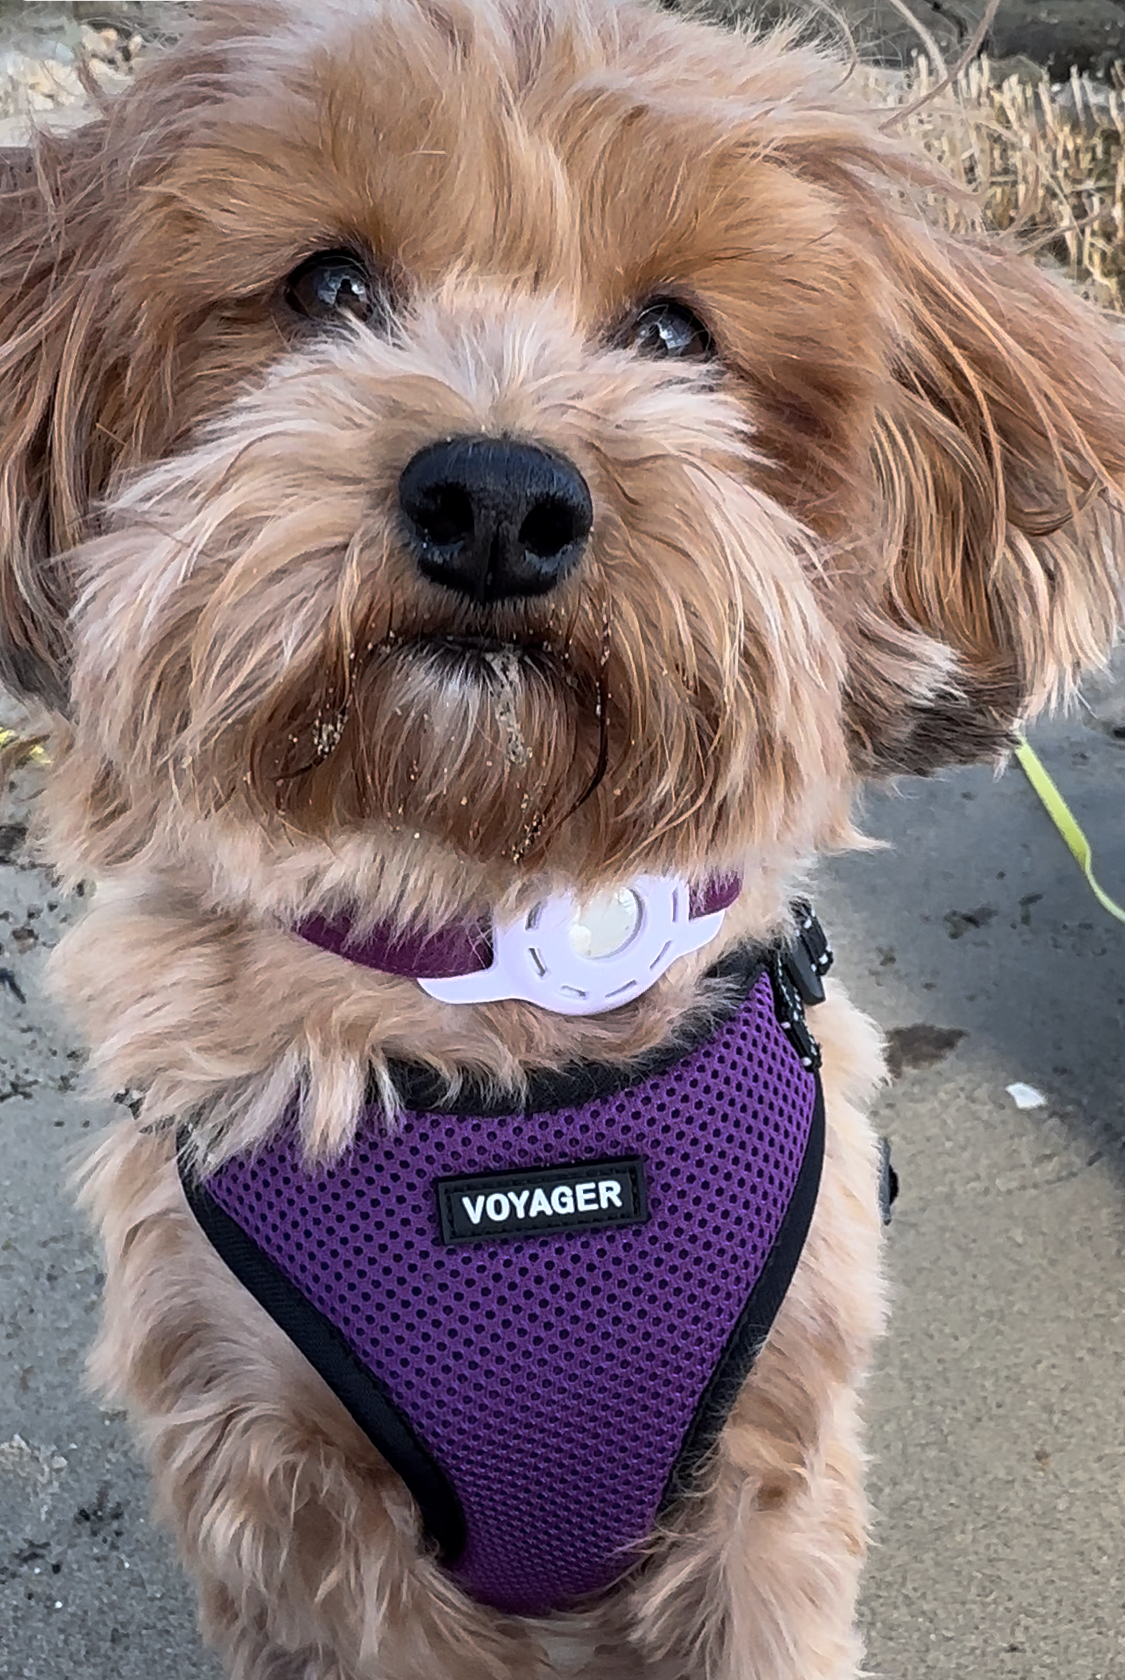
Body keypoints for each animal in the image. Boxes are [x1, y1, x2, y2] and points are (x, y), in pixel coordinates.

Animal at [2, 3, 1125, 1680]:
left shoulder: (766, 1487)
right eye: (328, 288)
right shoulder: (299, 1506)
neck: (497, 981)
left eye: (671, 333)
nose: (494, 496)